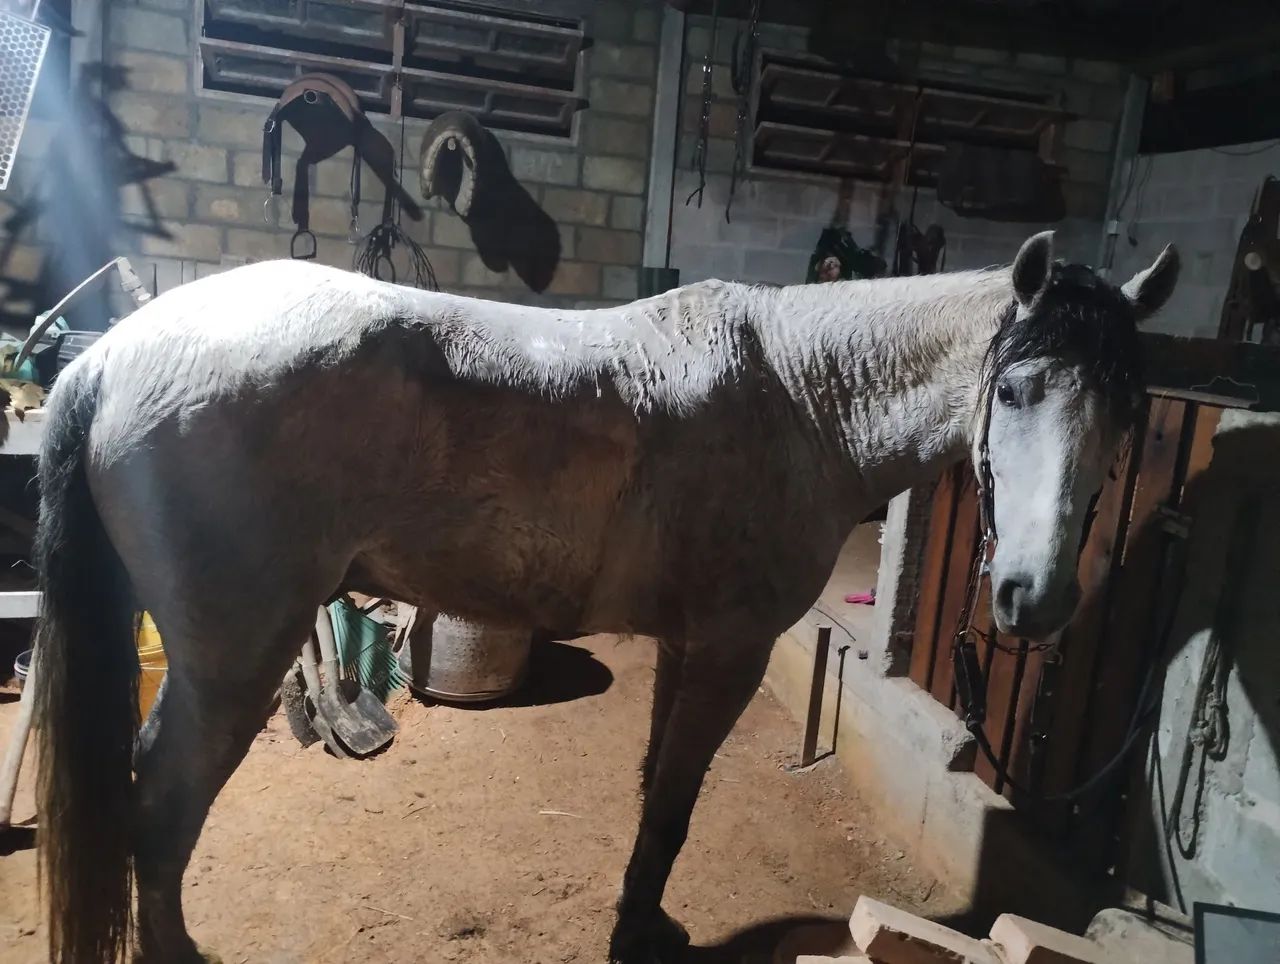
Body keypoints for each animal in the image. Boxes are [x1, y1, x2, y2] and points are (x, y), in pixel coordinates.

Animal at [32, 230, 1178, 963]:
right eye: (1013, 389)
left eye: (1129, 412)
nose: (1034, 600)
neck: (800, 395)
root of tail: (111, 354)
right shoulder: (730, 648)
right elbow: (670, 807)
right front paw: (637, 939)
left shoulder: (684, 648)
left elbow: (653, 797)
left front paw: (642, 923)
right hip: (235, 658)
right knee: (160, 806)